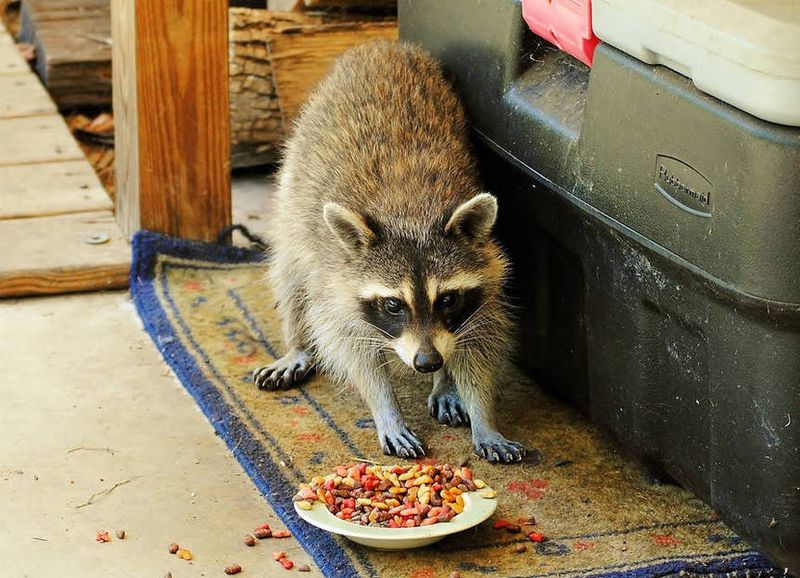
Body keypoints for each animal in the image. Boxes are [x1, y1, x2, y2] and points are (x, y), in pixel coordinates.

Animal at [253, 40, 525, 464]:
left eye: (448, 299)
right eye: (393, 305)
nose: (428, 362)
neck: (410, 213)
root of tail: (381, 45)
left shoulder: (485, 279)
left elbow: (479, 340)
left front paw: (480, 411)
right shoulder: (337, 282)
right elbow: (352, 351)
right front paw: (386, 409)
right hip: (293, 194)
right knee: (291, 276)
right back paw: (296, 343)